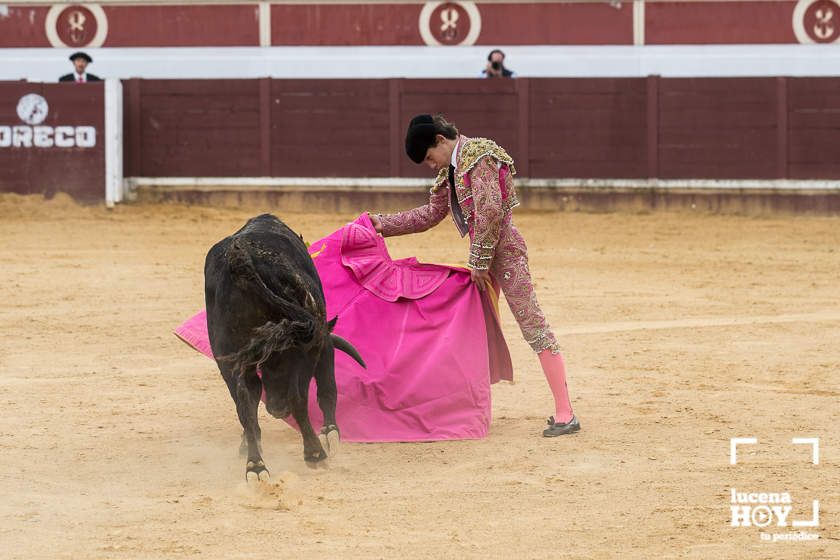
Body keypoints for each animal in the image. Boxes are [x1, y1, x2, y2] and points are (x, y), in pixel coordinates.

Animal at [204, 214, 364, 482]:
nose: (277, 410)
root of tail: (244, 261)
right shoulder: (320, 343)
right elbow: (325, 388)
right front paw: (330, 433)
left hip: (228, 356)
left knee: (244, 405)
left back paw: (256, 466)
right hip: (303, 346)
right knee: (298, 398)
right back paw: (314, 453)